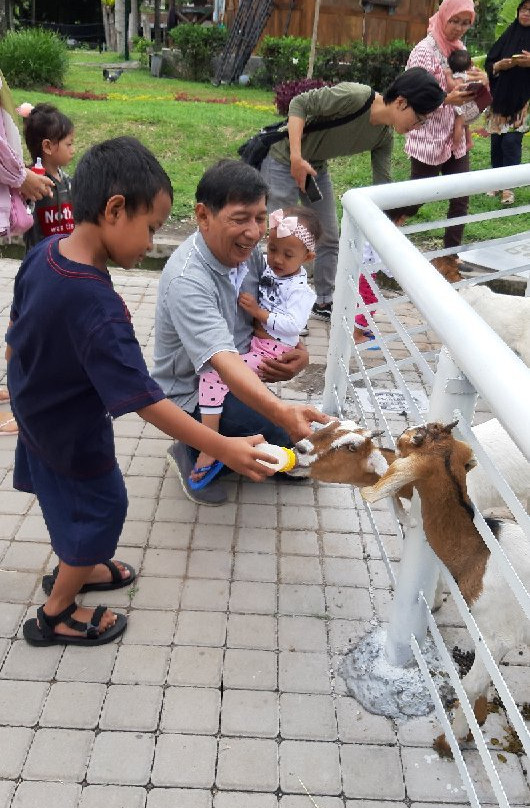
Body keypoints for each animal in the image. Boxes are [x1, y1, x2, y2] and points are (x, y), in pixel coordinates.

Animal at [358, 426, 528, 756]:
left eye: (410, 442)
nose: (397, 436)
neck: (482, 555)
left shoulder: (499, 634)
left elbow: (471, 684)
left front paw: (451, 740)